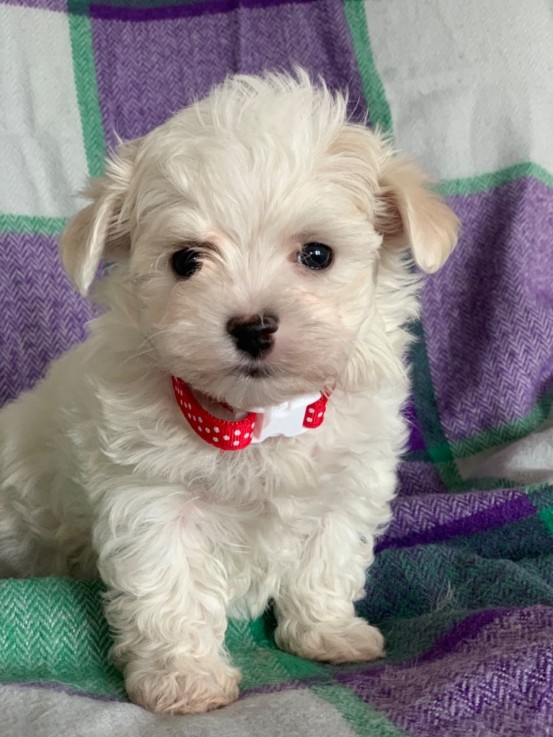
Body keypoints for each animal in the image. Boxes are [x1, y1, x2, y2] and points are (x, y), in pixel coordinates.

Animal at [0, 72, 458, 712]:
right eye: (186, 260)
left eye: (317, 254)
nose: (253, 326)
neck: (258, 418)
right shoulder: (151, 497)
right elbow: (171, 587)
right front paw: (184, 679)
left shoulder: (347, 483)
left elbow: (328, 558)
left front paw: (328, 633)